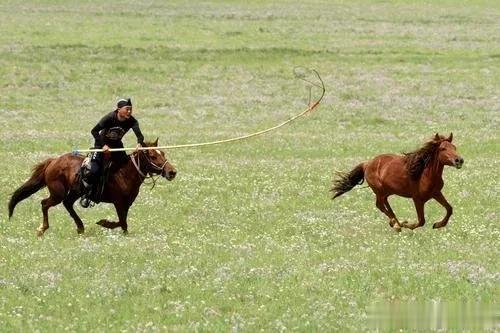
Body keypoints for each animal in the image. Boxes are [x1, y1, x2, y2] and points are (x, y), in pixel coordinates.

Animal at [7, 139, 177, 235]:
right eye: (153, 156)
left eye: (163, 153)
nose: (172, 172)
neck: (125, 173)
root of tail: (53, 161)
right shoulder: (118, 202)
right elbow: (122, 222)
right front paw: (105, 223)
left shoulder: (126, 204)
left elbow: (122, 222)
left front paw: (106, 224)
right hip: (57, 193)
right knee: (45, 204)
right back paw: (42, 229)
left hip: (75, 192)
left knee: (67, 204)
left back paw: (80, 227)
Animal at [332, 132, 464, 231]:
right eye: (443, 148)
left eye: (454, 147)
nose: (459, 160)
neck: (425, 174)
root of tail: (367, 164)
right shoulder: (417, 199)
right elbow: (421, 221)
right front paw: (408, 225)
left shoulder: (436, 193)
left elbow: (449, 209)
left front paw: (437, 224)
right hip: (379, 191)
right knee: (380, 205)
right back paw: (397, 225)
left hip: (386, 191)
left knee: (385, 204)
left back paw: (396, 222)